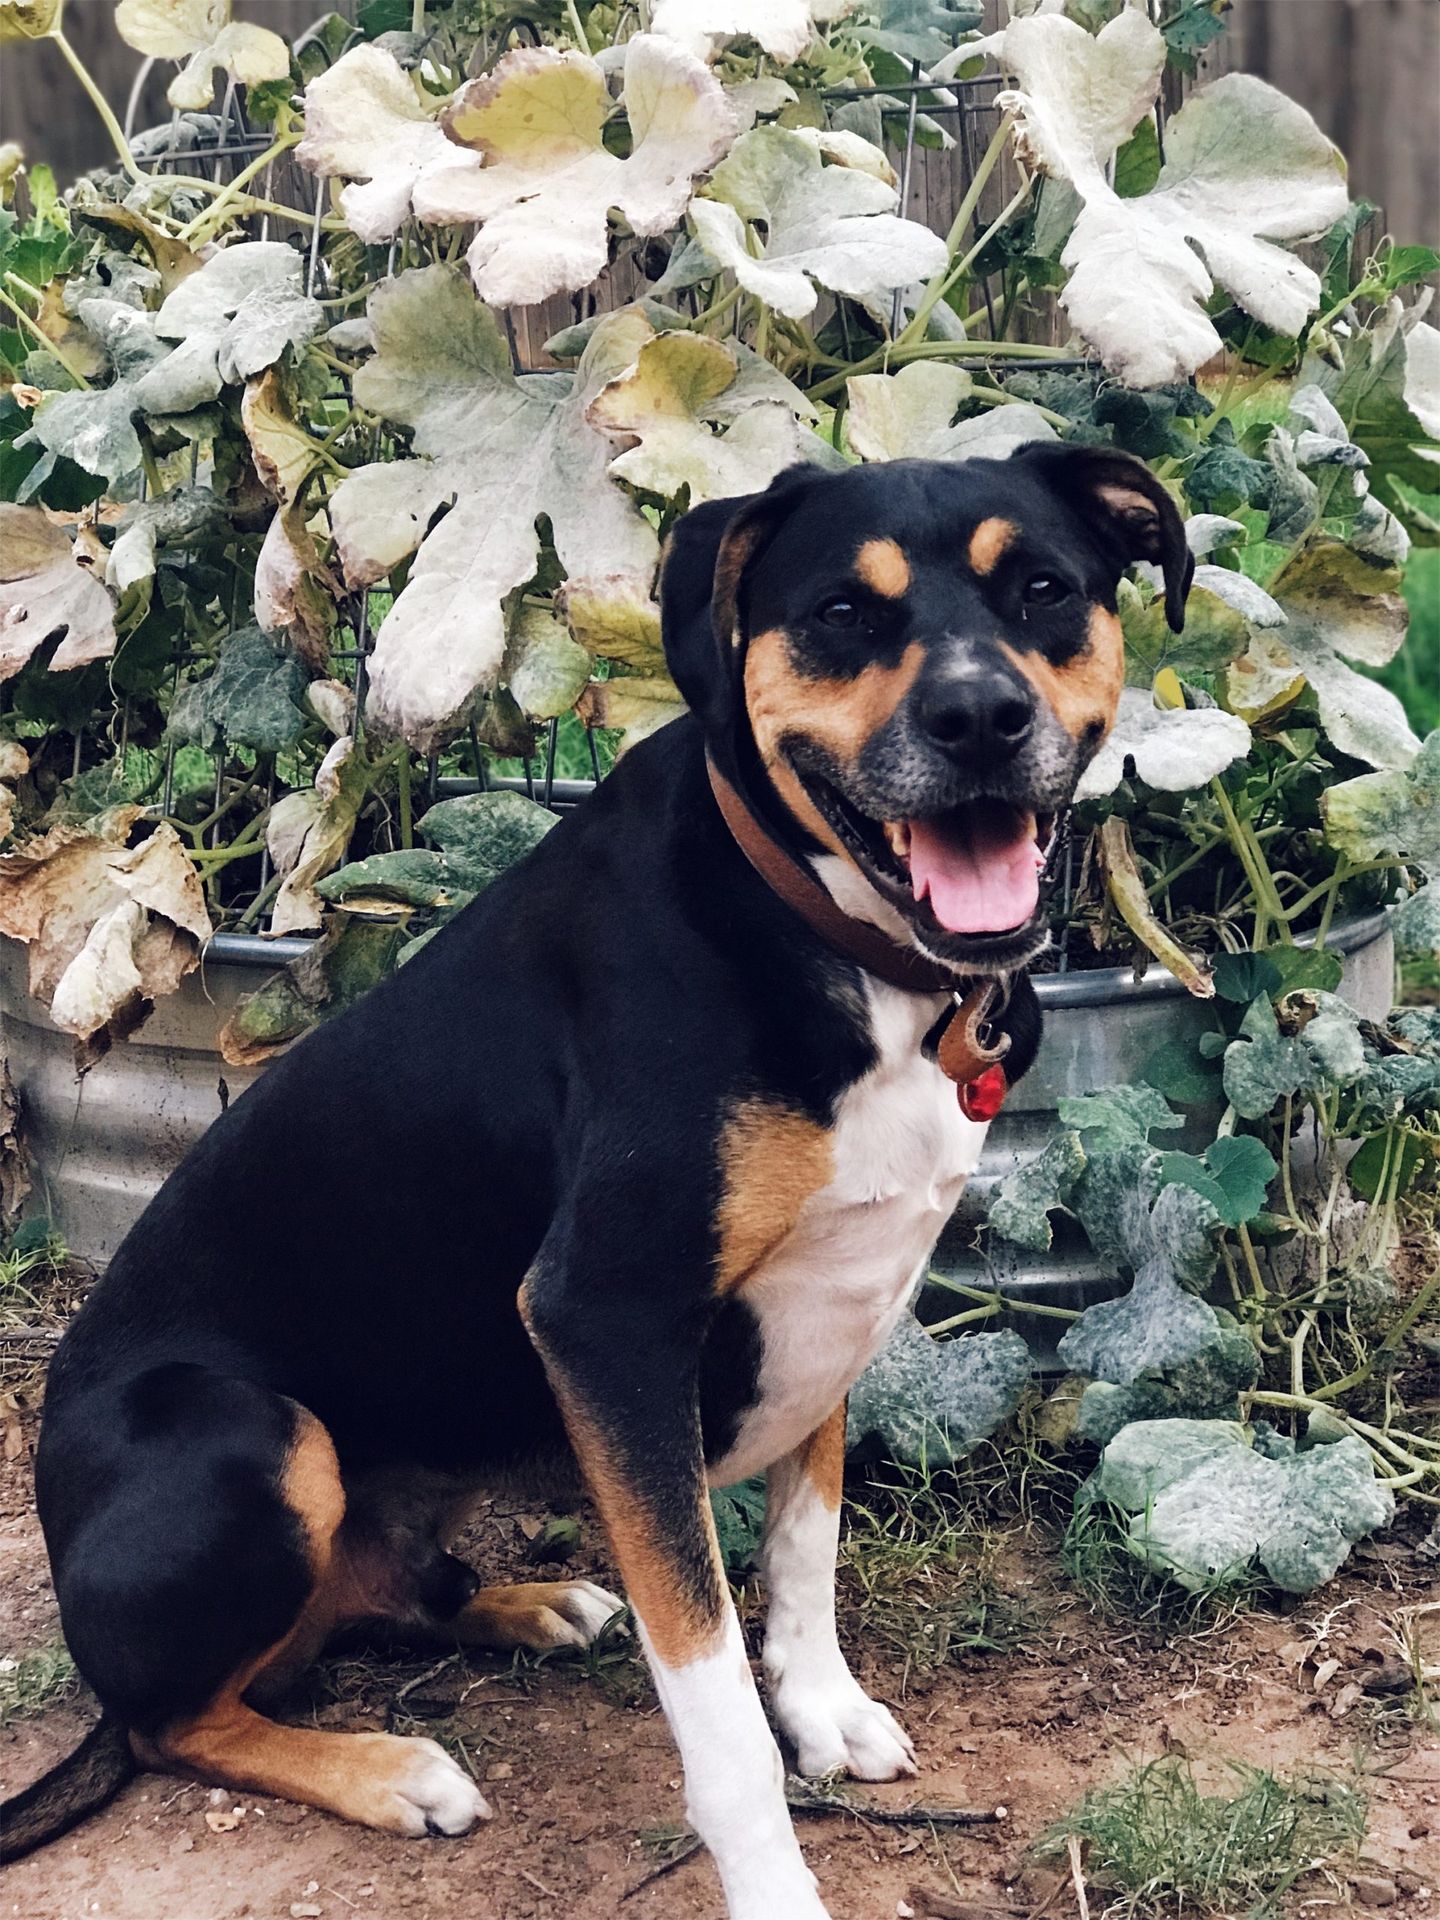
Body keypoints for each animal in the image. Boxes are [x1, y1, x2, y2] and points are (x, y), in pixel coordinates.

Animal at [2, 444, 1189, 1918]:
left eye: (1043, 589)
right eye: (843, 616)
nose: (979, 716)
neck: (827, 933)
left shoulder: (839, 1299)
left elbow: (804, 1546)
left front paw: (827, 1711)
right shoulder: (608, 1319)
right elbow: (713, 1678)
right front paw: (774, 1878)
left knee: (366, 1602)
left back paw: (527, 1605)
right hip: (252, 1441)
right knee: (170, 1722)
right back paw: (391, 1771)